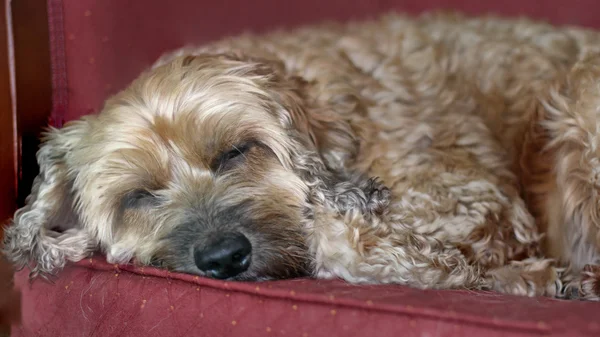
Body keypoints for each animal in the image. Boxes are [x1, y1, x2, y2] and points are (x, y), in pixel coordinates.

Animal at [3, 11, 600, 300]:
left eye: (236, 152)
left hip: (575, 112)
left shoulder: (472, 193)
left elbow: (335, 238)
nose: (222, 258)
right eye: (140, 196)